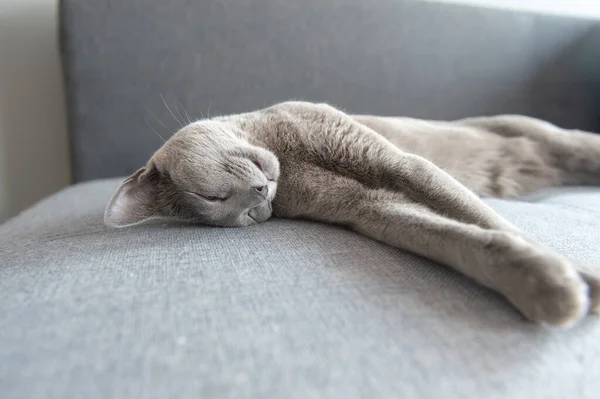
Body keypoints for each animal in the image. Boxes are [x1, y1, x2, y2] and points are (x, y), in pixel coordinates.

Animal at [104, 102, 600, 328]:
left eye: (213, 195)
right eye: (236, 212)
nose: (259, 197)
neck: (288, 160)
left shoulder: (397, 163)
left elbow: (479, 214)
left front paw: (579, 276)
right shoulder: (370, 209)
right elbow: (454, 237)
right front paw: (550, 285)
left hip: (548, 134)